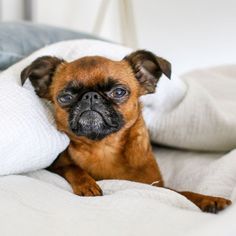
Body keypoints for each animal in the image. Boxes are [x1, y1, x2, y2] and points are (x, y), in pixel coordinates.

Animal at [21, 49, 231, 212]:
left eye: (119, 92)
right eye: (65, 97)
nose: (90, 96)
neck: (103, 146)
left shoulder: (154, 185)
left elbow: (181, 193)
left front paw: (210, 199)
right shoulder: (56, 166)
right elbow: (72, 167)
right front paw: (88, 185)